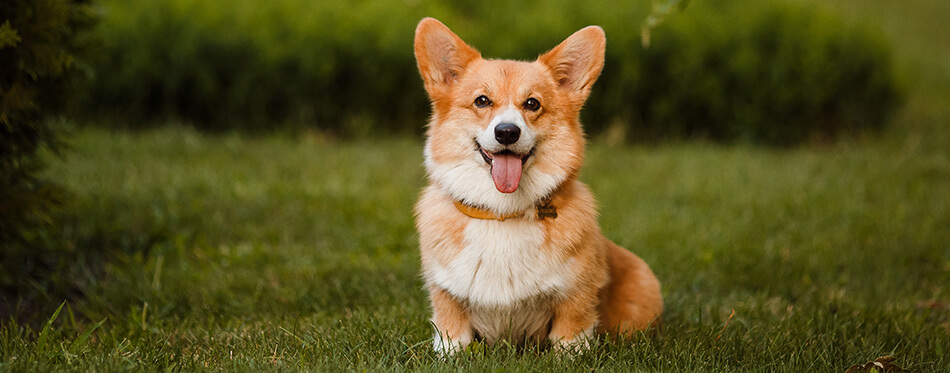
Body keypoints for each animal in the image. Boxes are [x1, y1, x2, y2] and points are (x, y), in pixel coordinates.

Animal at [412, 18, 664, 354]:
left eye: (532, 104)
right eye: (482, 101)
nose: (507, 132)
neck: (501, 213)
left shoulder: (576, 298)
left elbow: (570, 339)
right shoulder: (445, 295)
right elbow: (452, 337)